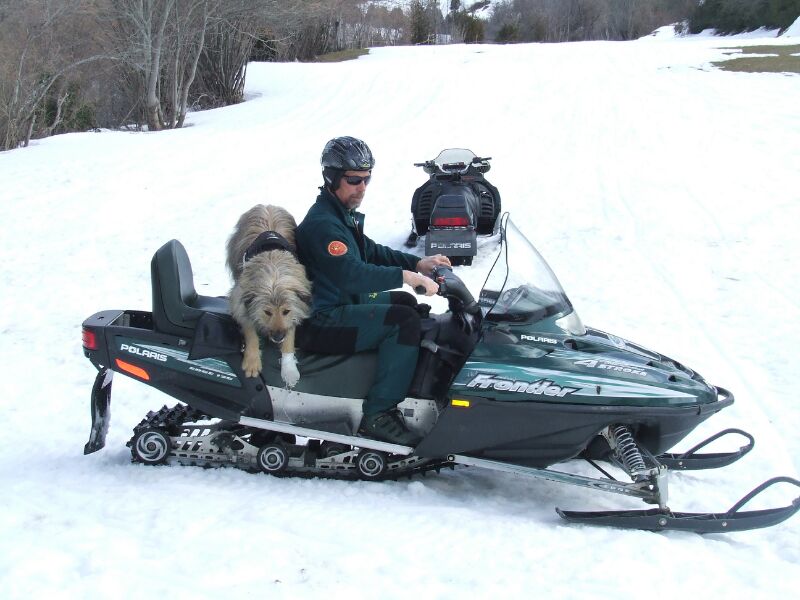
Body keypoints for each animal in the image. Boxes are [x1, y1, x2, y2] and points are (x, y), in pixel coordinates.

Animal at [228, 204, 312, 386]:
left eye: (286, 311)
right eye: (267, 312)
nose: (278, 337)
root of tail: (267, 205)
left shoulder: (297, 303)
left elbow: (290, 334)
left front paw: (289, 369)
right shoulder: (241, 299)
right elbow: (249, 328)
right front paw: (252, 360)